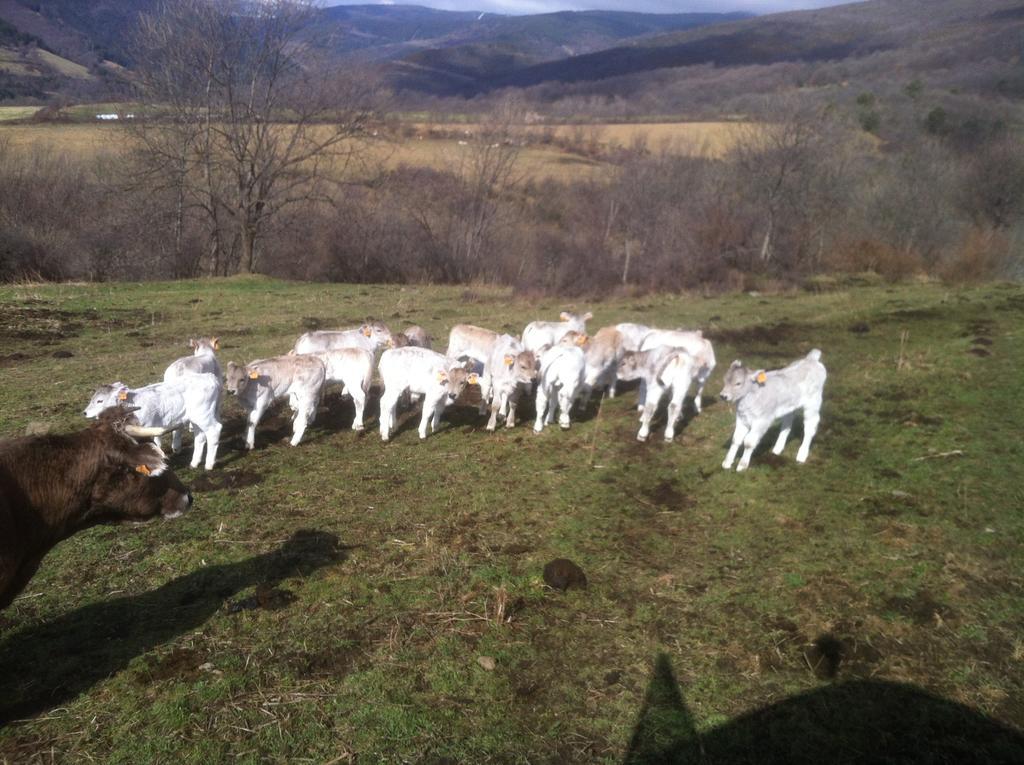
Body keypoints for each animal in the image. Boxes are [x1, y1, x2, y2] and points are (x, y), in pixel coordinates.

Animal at [83, 374, 222, 469]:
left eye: (100, 401)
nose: (84, 412)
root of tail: (210, 377)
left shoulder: (146, 426)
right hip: (197, 418)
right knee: (200, 436)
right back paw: (194, 463)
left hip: (203, 414)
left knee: (214, 430)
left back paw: (209, 465)